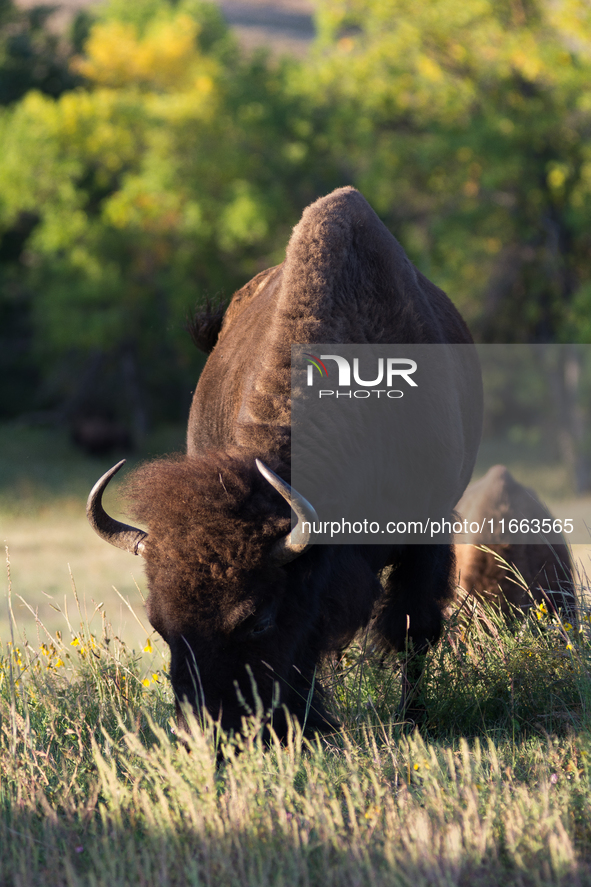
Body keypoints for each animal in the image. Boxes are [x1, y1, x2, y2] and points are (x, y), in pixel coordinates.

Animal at [88, 189, 484, 744]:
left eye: (257, 620)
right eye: (160, 627)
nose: (204, 731)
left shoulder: (427, 530)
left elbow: (413, 628)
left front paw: (412, 721)